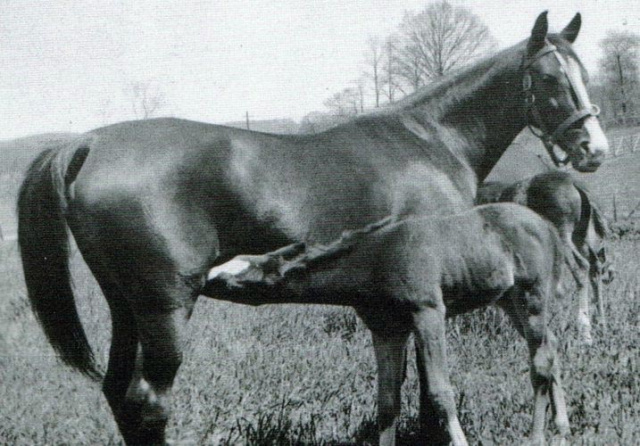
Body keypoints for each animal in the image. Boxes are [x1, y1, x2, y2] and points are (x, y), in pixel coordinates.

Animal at [205, 205, 568, 446]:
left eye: (233, 277)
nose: (201, 277)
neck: (376, 260)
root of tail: (546, 224)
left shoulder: (428, 313)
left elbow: (440, 391)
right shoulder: (386, 330)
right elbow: (387, 401)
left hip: (532, 295)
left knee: (540, 363)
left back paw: (537, 437)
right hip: (508, 301)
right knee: (550, 348)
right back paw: (562, 427)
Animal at [478, 169, 612, 344]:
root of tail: (574, 183)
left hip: (564, 236)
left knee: (582, 266)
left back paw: (584, 333)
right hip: (582, 237)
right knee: (594, 267)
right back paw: (600, 326)